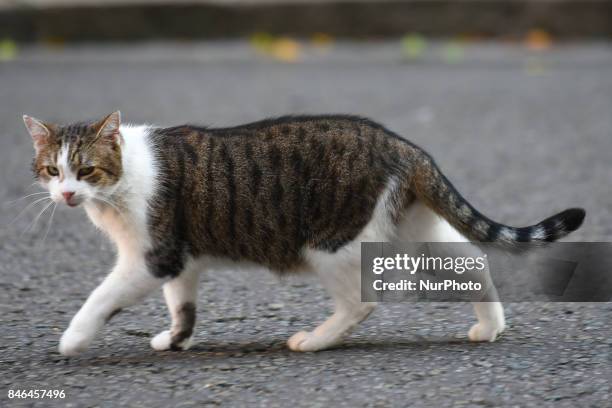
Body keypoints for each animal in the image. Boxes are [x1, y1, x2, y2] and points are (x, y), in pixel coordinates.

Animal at [21, 110, 584, 356]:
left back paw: (314, 340)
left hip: (331, 243)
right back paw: (489, 328)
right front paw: (176, 341)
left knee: (363, 301)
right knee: (472, 260)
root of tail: (405, 146)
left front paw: (72, 340)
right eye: (52, 170)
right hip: (415, 229)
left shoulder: (151, 255)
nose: (66, 195)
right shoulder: (181, 259)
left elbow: (100, 298)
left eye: (86, 170)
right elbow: (183, 308)